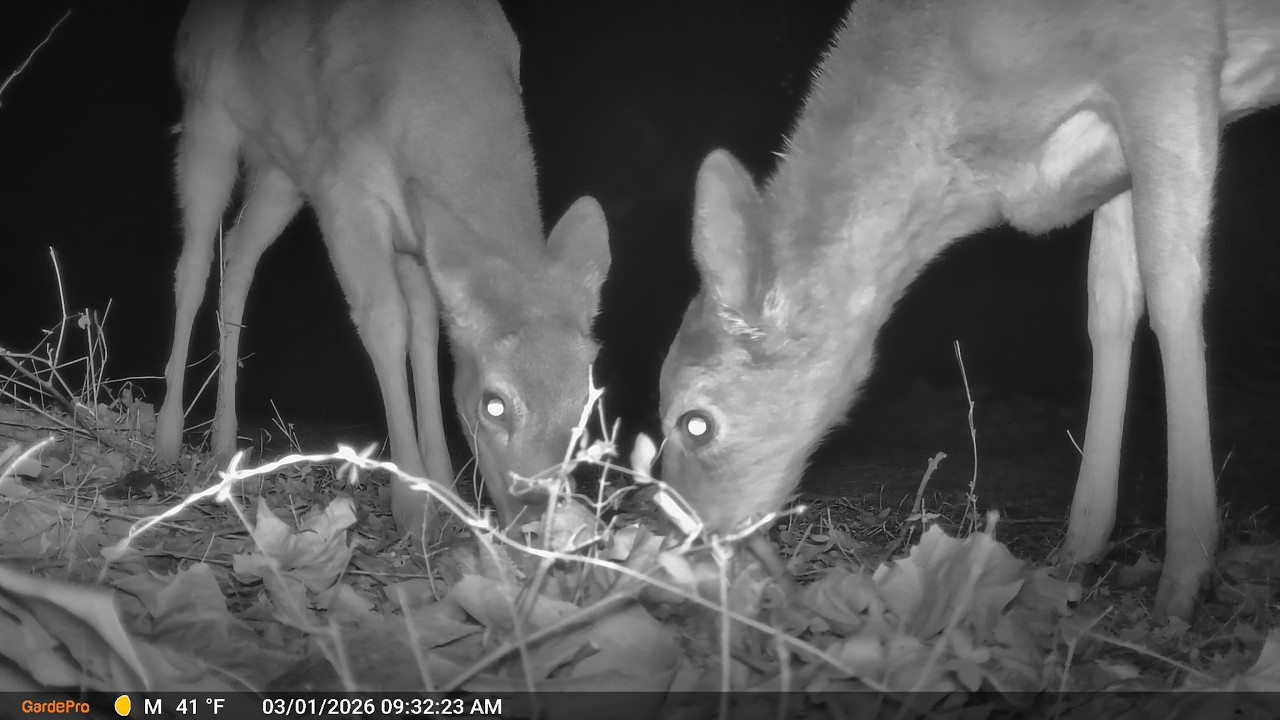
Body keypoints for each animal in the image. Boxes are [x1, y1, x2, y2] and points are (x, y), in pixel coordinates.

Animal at [154, 0, 611, 536]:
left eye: (586, 405)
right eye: (494, 404)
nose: (543, 523)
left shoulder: (415, 239)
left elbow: (426, 334)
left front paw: (443, 486)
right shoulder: (343, 187)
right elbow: (386, 322)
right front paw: (412, 504)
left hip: (285, 169)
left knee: (238, 256)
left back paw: (225, 444)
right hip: (207, 115)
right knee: (192, 265)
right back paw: (168, 435)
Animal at [658, 0, 1280, 620]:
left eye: (697, 424)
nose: (688, 560)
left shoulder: (1171, 50)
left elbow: (1173, 287)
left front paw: (1185, 573)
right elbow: (1110, 303)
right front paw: (1078, 548)